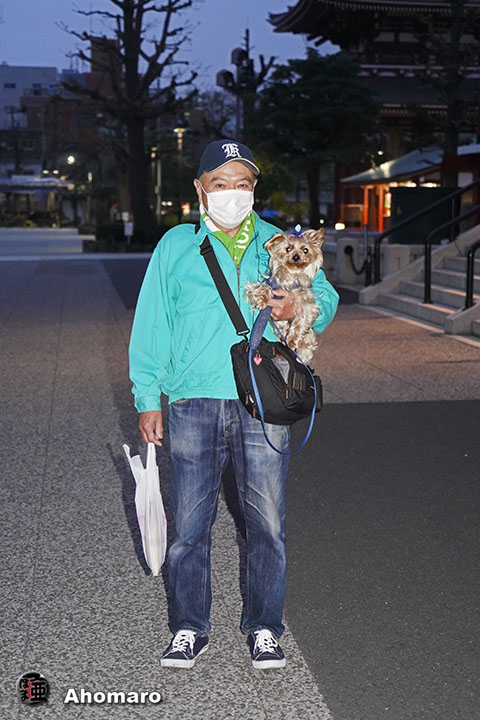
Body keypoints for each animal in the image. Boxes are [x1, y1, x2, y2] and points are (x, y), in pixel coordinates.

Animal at [244, 227, 325, 364]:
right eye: (288, 248)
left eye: (305, 250)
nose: (296, 257)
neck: (291, 275)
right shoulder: (270, 284)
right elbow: (260, 288)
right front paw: (262, 298)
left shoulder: (307, 303)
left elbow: (301, 320)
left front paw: (292, 339)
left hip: (309, 338)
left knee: (306, 347)